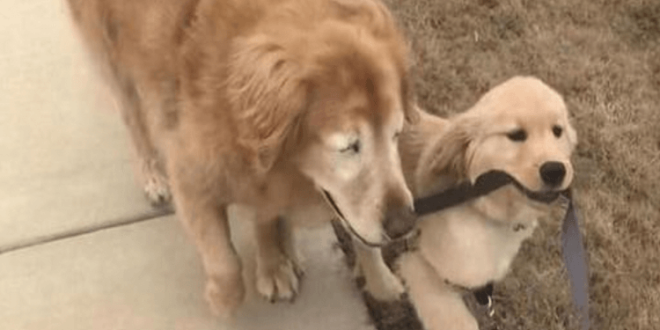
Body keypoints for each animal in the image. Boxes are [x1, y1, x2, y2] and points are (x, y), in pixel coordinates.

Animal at [68, 0, 418, 318]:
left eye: (396, 133)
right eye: (348, 147)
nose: (404, 225)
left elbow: (270, 217)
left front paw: (380, 280)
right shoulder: (192, 177)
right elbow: (226, 263)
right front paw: (222, 298)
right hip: (113, 57)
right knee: (132, 117)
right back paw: (152, 175)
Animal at [392, 76, 576, 328]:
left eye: (558, 131)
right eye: (515, 134)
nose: (556, 170)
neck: (481, 207)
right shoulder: (418, 262)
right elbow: (459, 321)